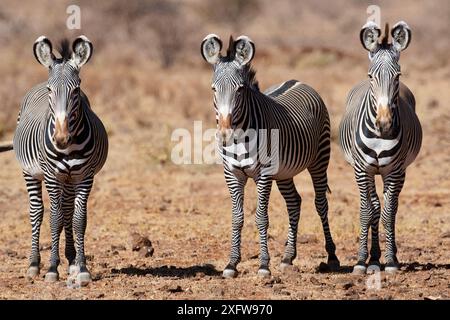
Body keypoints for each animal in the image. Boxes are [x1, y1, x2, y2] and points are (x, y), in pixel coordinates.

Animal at [1, 36, 108, 286]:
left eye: (76, 89)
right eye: (51, 90)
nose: (61, 138)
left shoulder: (84, 177)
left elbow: (78, 219)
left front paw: (81, 267)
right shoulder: (52, 176)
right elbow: (55, 218)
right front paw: (51, 268)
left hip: (68, 180)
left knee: (67, 211)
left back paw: (70, 260)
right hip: (30, 173)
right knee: (37, 211)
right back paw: (33, 264)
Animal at [200, 33, 338, 278]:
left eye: (240, 89)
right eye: (213, 89)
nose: (225, 134)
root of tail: (297, 80)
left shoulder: (263, 174)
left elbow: (261, 218)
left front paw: (264, 264)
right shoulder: (232, 174)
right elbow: (237, 218)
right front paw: (232, 263)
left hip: (320, 159)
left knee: (321, 203)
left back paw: (331, 256)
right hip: (284, 172)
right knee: (294, 202)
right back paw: (288, 257)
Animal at [342, 21, 422, 274]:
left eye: (397, 75)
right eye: (371, 76)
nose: (385, 124)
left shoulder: (393, 171)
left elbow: (388, 213)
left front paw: (391, 261)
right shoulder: (362, 170)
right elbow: (367, 212)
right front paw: (361, 261)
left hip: (401, 170)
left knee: (390, 208)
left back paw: (386, 255)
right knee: (375, 206)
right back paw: (374, 258)